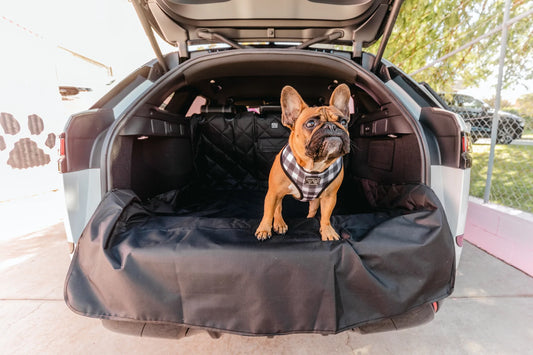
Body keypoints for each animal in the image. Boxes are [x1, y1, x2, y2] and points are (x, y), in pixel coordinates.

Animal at [256, 83, 352, 242]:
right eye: (311, 123)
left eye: (343, 122)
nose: (332, 126)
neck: (314, 166)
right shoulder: (273, 193)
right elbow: (268, 213)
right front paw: (264, 229)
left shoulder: (330, 197)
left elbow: (326, 216)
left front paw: (327, 231)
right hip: (277, 194)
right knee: (278, 208)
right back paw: (279, 223)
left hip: (315, 201)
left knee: (312, 210)